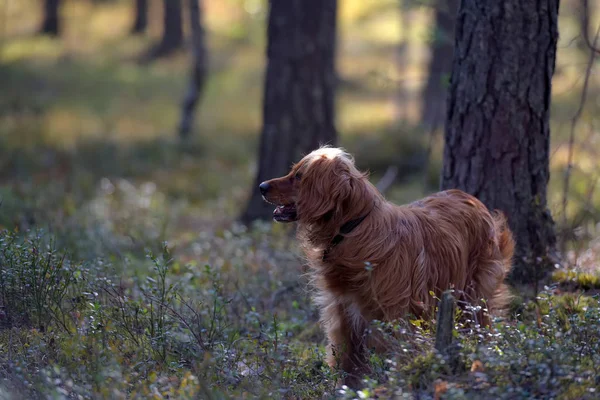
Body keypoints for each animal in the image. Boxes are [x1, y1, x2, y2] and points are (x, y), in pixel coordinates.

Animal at [260, 147, 512, 388]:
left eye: (299, 176)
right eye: (293, 171)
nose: (262, 186)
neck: (352, 229)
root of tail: (472, 199)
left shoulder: (401, 313)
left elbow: (403, 353)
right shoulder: (342, 312)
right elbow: (347, 360)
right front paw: (345, 389)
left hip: (472, 299)